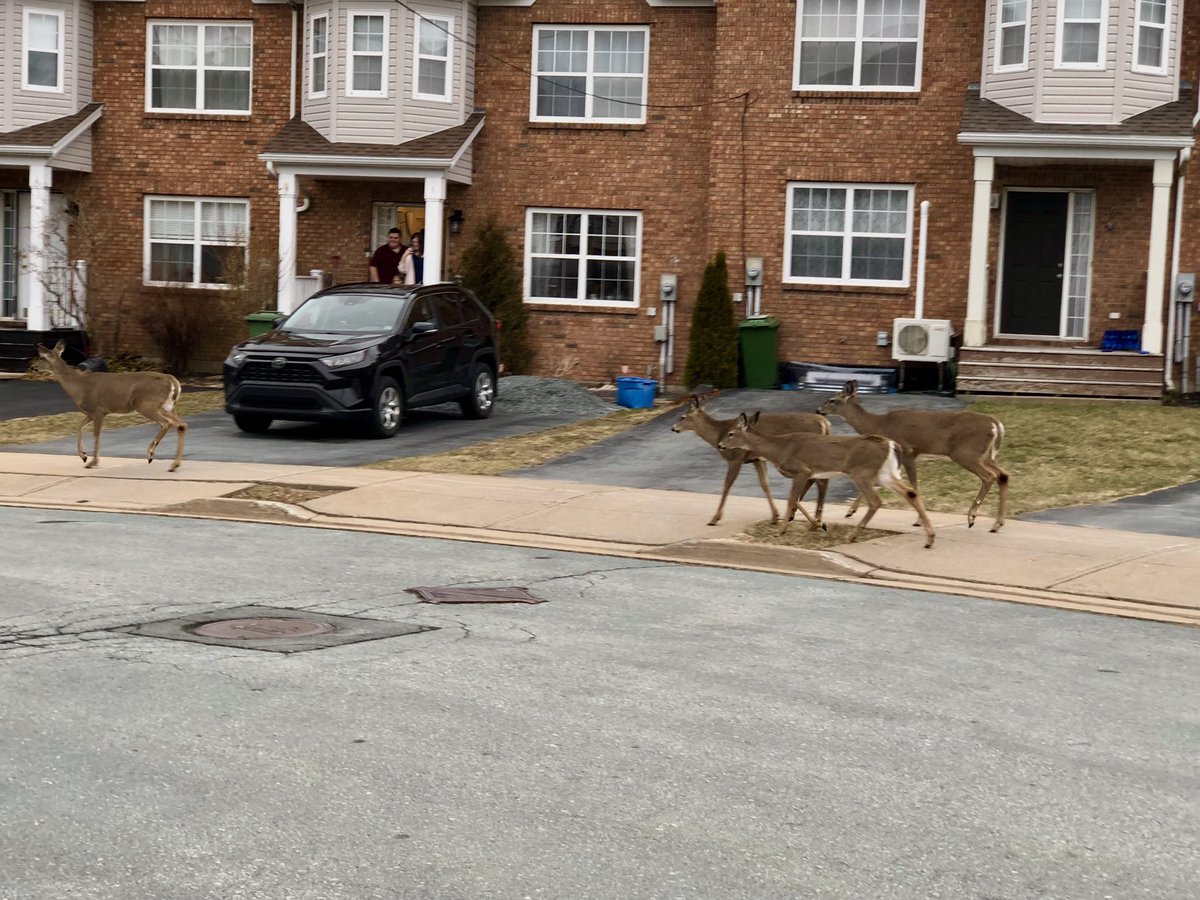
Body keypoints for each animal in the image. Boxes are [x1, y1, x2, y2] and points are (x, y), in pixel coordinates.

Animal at [35, 340, 188, 472]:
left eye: (42, 358)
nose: (33, 367)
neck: (79, 385)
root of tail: (173, 381)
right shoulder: (91, 413)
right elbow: (79, 426)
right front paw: (84, 456)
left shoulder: (98, 410)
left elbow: (96, 434)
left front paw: (92, 462)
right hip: (168, 406)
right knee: (182, 425)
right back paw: (174, 465)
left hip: (147, 405)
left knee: (166, 423)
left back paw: (151, 455)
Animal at [671, 388, 831, 527]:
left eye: (682, 417)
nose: (673, 428)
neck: (718, 433)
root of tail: (825, 423)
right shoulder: (757, 459)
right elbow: (764, 484)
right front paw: (775, 516)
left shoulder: (735, 457)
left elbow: (727, 485)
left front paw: (715, 518)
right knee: (818, 479)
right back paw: (804, 515)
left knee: (819, 481)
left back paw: (812, 517)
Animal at [718, 411, 936, 548]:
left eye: (731, 433)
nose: (720, 445)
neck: (780, 448)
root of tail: (892, 444)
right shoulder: (808, 473)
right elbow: (796, 500)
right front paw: (818, 524)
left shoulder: (802, 470)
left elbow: (792, 499)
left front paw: (782, 531)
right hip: (884, 473)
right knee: (910, 492)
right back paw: (930, 539)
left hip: (862, 473)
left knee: (876, 501)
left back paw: (853, 535)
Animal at [818, 380, 1008, 531]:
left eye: (832, 400)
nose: (819, 410)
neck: (878, 424)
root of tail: (995, 424)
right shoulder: (902, 457)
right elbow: (885, 483)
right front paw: (850, 511)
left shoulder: (907, 451)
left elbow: (914, 485)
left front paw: (918, 521)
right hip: (987, 456)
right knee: (1003, 475)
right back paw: (997, 524)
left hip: (965, 453)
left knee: (989, 476)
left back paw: (972, 518)